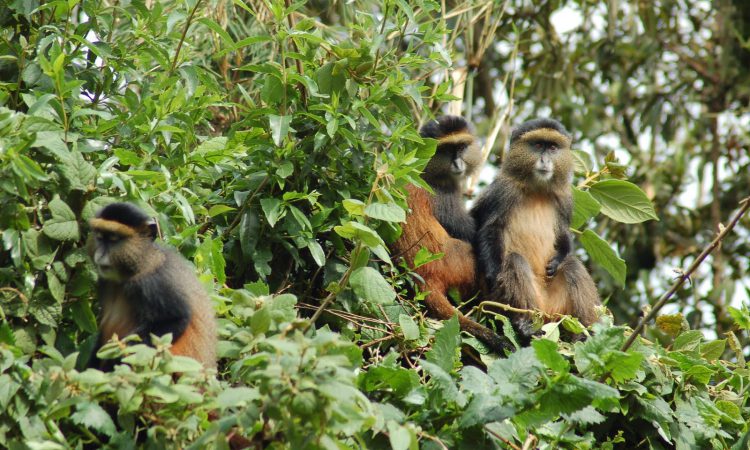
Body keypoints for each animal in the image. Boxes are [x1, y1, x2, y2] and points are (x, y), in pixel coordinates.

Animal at [86, 202, 217, 370]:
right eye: (100, 237)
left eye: (114, 239)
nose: (100, 254)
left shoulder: (154, 282)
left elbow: (176, 319)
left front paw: (115, 360)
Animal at [390, 115, 512, 353]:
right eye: (447, 149)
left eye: (462, 147)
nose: (457, 163)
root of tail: (426, 276)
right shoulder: (444, 193)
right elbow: (472, 232)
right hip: (460, 264)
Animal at [471, 118, 600, 342]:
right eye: (538, 145)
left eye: (553, 147)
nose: (545, 160)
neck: (536, 189)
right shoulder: (502, 191)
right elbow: (490, 229)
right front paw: (493, 276)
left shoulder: (565, 199)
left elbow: (563, 234)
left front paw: (557, 259)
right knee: (514, 261)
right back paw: (525, 325)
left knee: (572, 265)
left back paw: (586, 332)